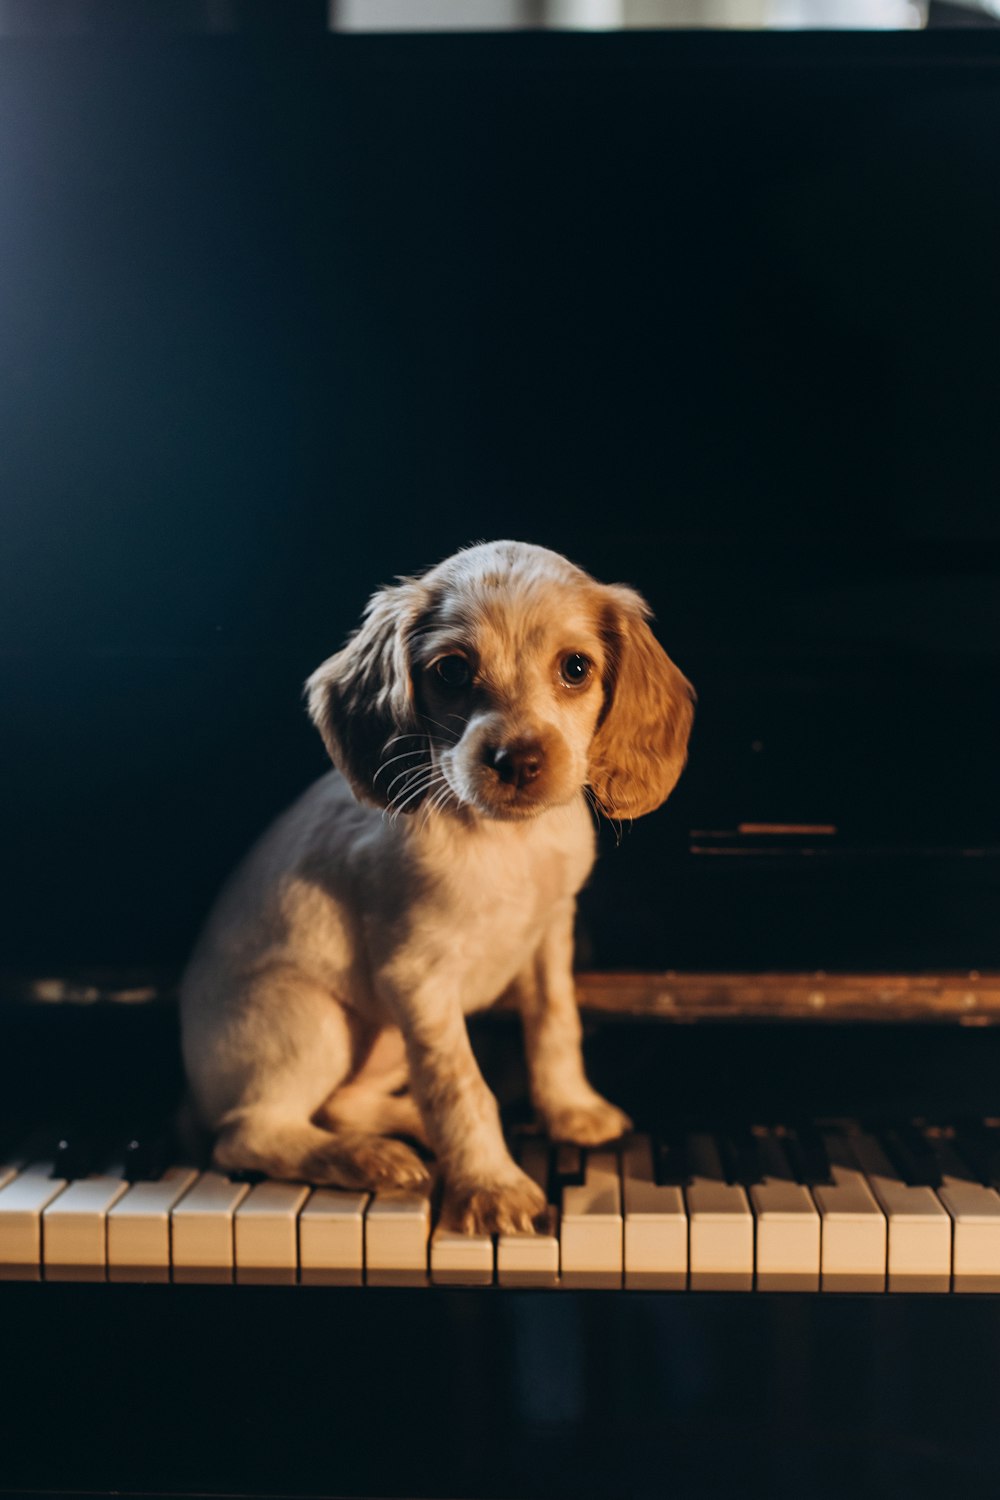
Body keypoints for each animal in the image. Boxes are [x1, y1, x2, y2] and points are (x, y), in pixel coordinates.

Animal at [182, 540, 695, 1230]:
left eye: (576, 668)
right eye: (452, 671)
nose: (518, 762)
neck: (507, 842)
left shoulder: (549, 936)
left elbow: (555, 1025)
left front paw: (570, 1111)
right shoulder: (417, 977)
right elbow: (460, 1085)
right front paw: (491, 1186)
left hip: (380, 1039)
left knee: (340, 1104)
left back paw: (400, 1132)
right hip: (313, 1018)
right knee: (251, 1134)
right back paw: (367, 1157)